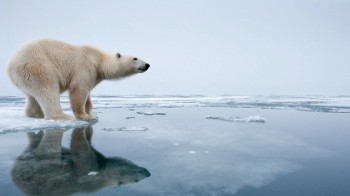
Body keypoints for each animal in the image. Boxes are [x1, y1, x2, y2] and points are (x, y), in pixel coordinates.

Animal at [6, 38, 149, 120]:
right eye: (135, 58)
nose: (147, 65)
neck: (98, 59)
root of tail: (10, 65)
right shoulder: (85, 65)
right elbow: (79, 89)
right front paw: (85, 116)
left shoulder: (95, 75)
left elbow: (88, 93)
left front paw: (92, 113)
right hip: (37, 66)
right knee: (48, 89)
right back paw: (63, 116)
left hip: (25, 76)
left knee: (33, 95)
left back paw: (37, 114)